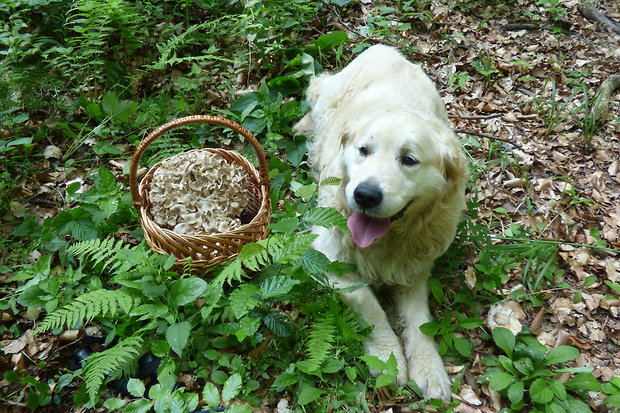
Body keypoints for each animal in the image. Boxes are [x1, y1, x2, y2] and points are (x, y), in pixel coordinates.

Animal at [294, 45, 468, 400]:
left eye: (409, 160)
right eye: (364, 150)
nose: (365, 195)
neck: (389, 239)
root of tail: (384, 48)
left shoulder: (414, 265)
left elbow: (420, 320)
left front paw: (430, 368)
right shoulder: (325, 255)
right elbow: (368, 303)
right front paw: (388, 356)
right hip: (326, 97)